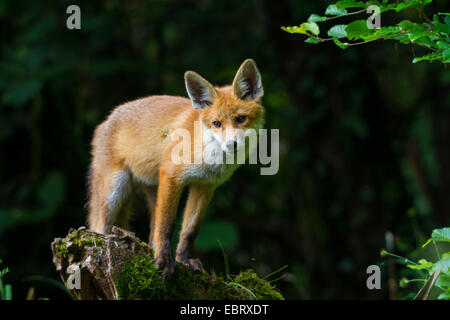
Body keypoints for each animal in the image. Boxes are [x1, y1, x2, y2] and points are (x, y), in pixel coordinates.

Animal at [87, 58, 264, 278]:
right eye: (216, 123)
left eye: (241, 119)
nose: (232, 145)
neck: (209, 155)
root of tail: (104, 121)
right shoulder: (172, 175)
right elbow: (167, 224)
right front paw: (164, 260)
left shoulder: (205, 186)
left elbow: (190, 229)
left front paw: (184, 260)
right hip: (114, 192)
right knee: (99, 226)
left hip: (152, 192)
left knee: (152, 232)